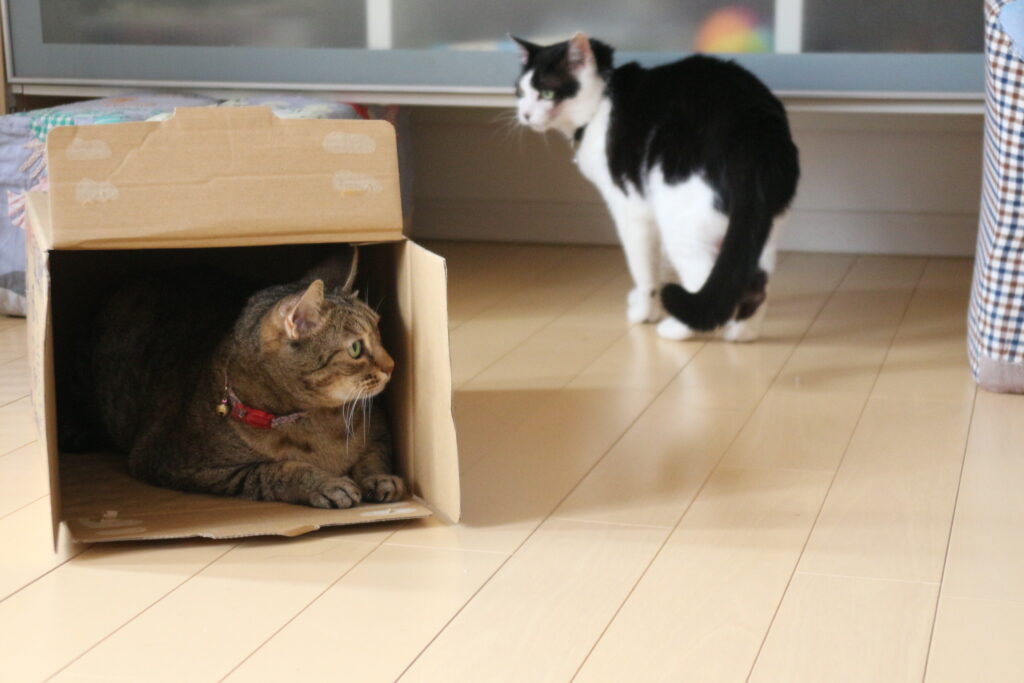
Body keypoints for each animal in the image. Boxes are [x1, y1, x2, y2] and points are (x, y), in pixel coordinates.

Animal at [70, 250, 405, 509]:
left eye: (379, 330)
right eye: (356, 348)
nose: (393, 365)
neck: (314, 420)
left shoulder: (380, 427)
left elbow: (374, 454)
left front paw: (379, 478)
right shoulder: (176, 463)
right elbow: (272, 470)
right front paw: (325, 484)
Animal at [512, 33, 800, 341]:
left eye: (547, 93)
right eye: (520, 92)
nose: (524, 114)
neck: (602, 103)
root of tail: (753, 128)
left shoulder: (630, 208)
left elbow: (644, 268)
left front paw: (643, 312)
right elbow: (658, 263)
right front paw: (646, 303)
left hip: (682, 220)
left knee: (703, 278)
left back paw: (678, 329)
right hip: (761, 226)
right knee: (754, 280)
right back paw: (743, 332)